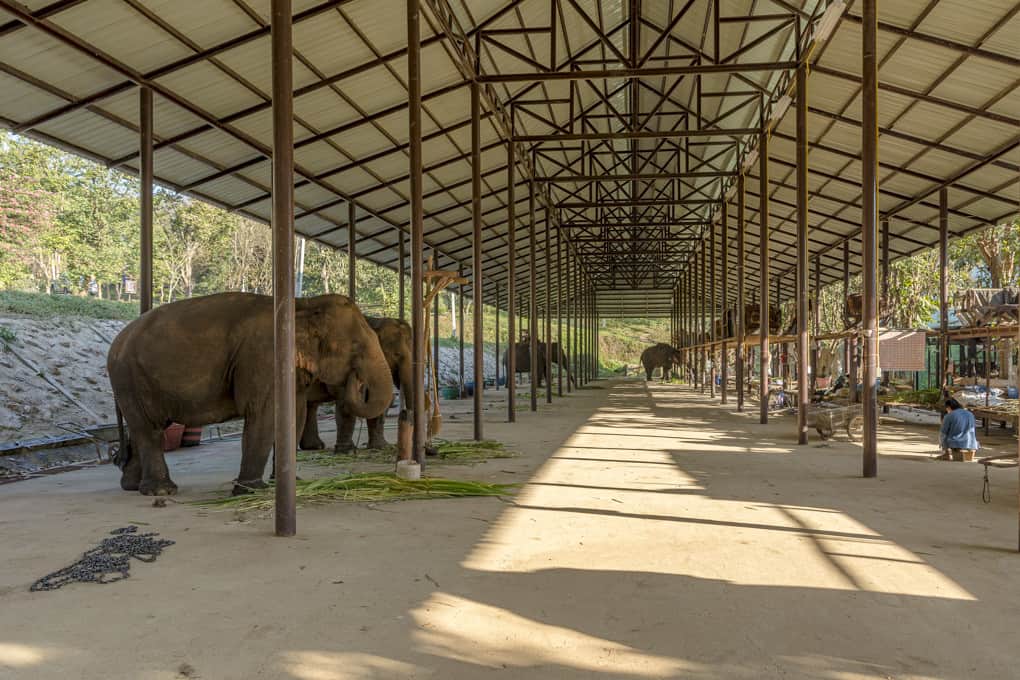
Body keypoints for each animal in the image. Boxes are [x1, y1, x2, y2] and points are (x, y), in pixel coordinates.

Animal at [109, 293, 391, 495]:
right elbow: (264, 414)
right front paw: (251, 491)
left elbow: (294, 415)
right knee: (149, 429)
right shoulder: (264, 357)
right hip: (129, 379)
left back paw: (131, 486)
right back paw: (161, 491)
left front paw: (292, 483)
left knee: (145, 427)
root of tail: (116, 342)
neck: (303, 304)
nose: (356, 380)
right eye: (356, 347)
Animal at [299, 316, 412, 454]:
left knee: (310, 405)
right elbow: (346, 402)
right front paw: (347, 450)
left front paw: (381, 446)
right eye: (397, 354)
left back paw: (315, 446)